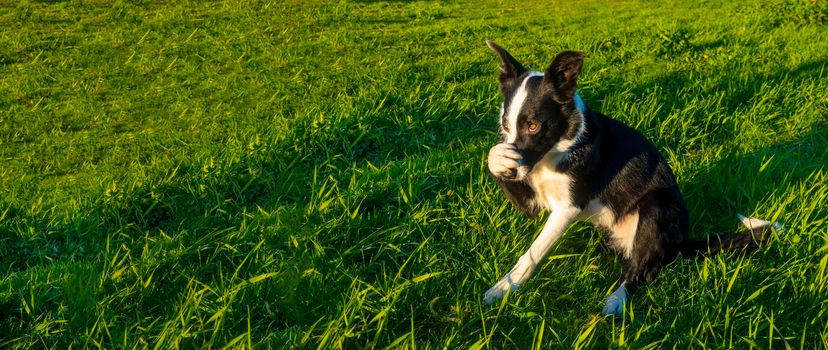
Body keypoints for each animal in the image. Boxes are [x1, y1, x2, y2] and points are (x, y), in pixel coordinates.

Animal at [482, 41, 780, 314]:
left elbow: (533, 252)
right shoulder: (532, 201)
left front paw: (504, 287)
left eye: (533, 126)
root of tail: (680, 243)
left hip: (656, 205)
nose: (513, 173)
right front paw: (500, 158)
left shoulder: (567, 207)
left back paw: (617, 300)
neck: (556, 150)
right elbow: (494, 155)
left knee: (642, 271)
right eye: (505, 125)